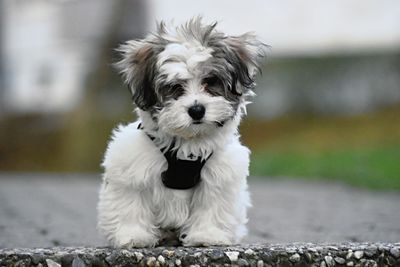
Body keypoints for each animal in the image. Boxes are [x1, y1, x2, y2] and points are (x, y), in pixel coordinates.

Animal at [97, 18, 266, 249]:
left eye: (210, 81)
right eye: (175, 87)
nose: (196, 110)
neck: (187, 144)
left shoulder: (219, 176)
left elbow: (211, 206)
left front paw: (207, 236)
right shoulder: (131, 169)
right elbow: (131, 203)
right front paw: (134, 236)